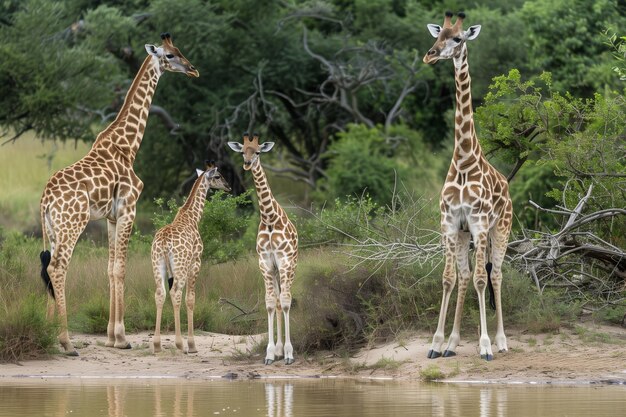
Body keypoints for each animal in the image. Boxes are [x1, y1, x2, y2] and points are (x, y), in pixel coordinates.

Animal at [39, 34, 199, 356]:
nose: (192, 69)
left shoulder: (112, 217)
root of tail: (45, 199)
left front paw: (112, 337)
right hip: (72, 224)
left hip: (53, 229)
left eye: (179, 51)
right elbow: (122, 269)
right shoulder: (129, 208)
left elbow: (111, 270)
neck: (128, 146)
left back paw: (50, 334)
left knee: (49, 268)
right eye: (170, 55)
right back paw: (66, 342)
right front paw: (123, 338)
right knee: (57, 267)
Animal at [152, 161, 232, 352]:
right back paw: (180, 344)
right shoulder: (196, 262)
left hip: (157, 264)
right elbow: (190, 299)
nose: (228, 186)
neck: (192, 217)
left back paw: (157, 345)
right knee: (176, 294)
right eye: (218, 176)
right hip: (180, 267)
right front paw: (192, 344)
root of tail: (164, 242)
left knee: (160, 293)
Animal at [228, 133, 298, 364]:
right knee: (276, 301)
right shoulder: (265, 262)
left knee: (284, 298)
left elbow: (286, 301)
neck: (269, 218)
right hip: (275, 270)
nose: (247, 163)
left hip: (290, 266)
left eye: (258, 151)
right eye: (242, 151)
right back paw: (277, 350)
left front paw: (289, 354)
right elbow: (269, 302)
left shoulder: (284, 260)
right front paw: (270, 353)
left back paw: (283, 351)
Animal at [420, 11, 512, 360]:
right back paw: (453, 343)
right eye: (437, 35)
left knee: (495, 274)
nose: (430, 55)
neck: (462, 161)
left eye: (458, 39)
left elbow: (481, 280)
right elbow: (449, 278)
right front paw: (437, 343)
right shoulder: (449, 223)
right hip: (463, 235)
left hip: (501, 228)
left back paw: (501, 341)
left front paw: (485, 345)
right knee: (463, 275)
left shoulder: (480, 223)